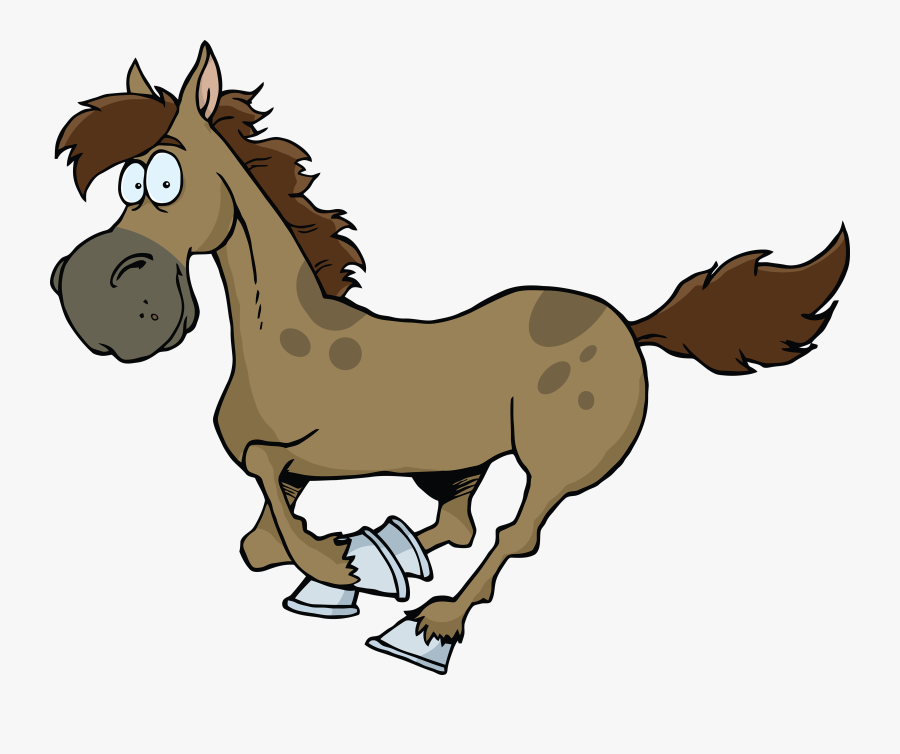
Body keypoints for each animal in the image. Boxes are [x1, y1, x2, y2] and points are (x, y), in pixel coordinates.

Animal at [50, 44, 850, 674]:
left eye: (163, 179)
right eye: (127, 183)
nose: (93, 297)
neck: (283, 343)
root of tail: (629, 323)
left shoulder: (317, 450)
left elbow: (272, 488)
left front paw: (335, 569)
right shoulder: (292, 467)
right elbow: (261, 533)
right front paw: (340, 559)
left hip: (555, 462)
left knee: (512, 535)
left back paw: (428, 624)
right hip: (463, 455)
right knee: (458, 524)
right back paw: (392, 550)